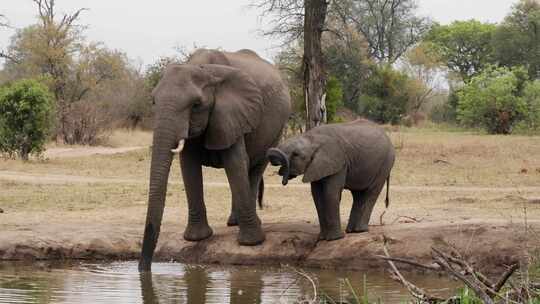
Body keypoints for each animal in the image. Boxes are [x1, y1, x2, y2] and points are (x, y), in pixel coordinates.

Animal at [139, 49, 292, 270]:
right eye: (153, 102)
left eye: (196, 105)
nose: (143, 268)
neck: (203, 69)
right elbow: (188, 167)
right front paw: (196, 238)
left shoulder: (232, 113)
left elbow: (235, 163)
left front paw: (252, 243)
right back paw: (234, 223)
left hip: (277, 128)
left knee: (254, 169)